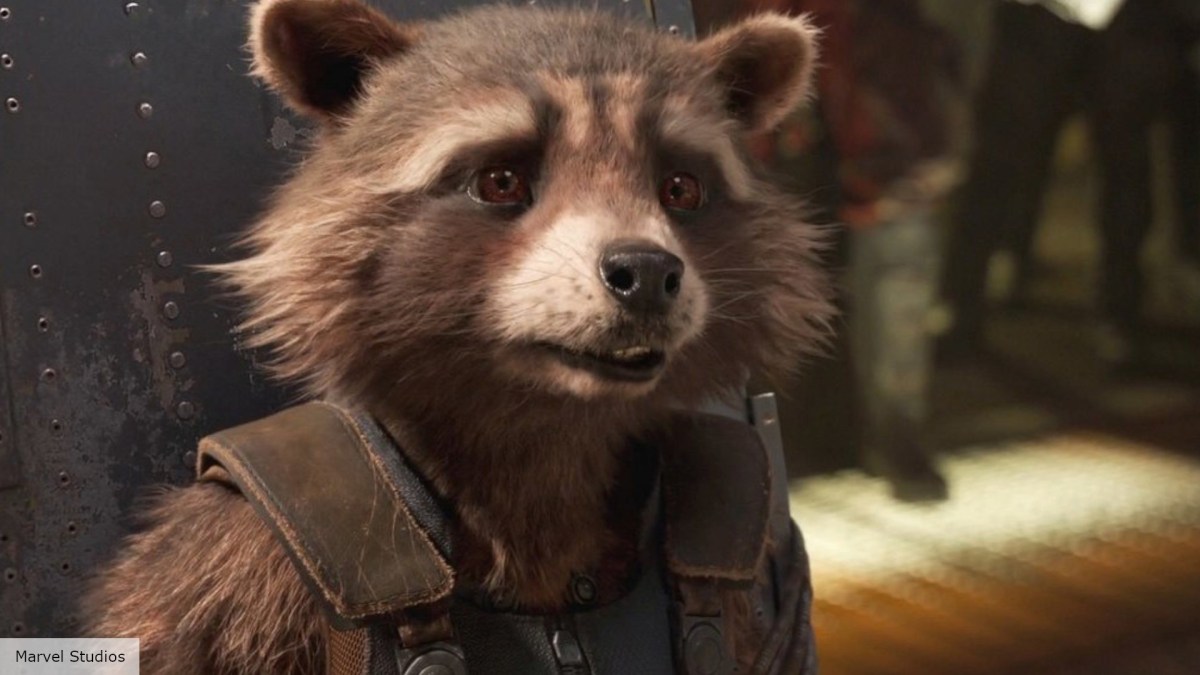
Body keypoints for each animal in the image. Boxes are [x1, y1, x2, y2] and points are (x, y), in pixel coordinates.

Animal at [84, 1, 832, 672]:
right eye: (501, 180)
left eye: (680, 188)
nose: (647, 272)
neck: (548, 417)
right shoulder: (230, 561)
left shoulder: (757, 565)